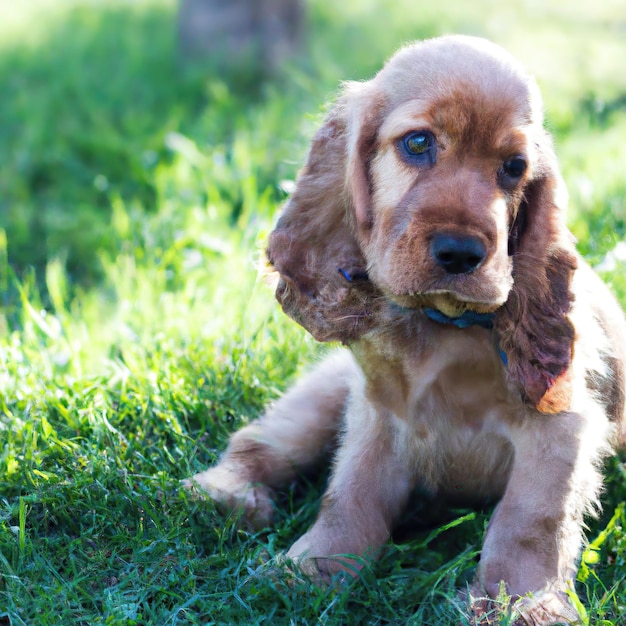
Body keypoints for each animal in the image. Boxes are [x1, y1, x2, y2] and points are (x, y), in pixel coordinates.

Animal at [184, 35, 624, 624]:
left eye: (514, 167)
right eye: (418, 143)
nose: (461, 253)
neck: (444, 324)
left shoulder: (560, 427)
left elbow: (529, 523)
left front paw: (520, 603)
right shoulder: (378, 410)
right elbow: (350, 494)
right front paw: (313, 569)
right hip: (321, 396)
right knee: (258, 442)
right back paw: (226, 493)